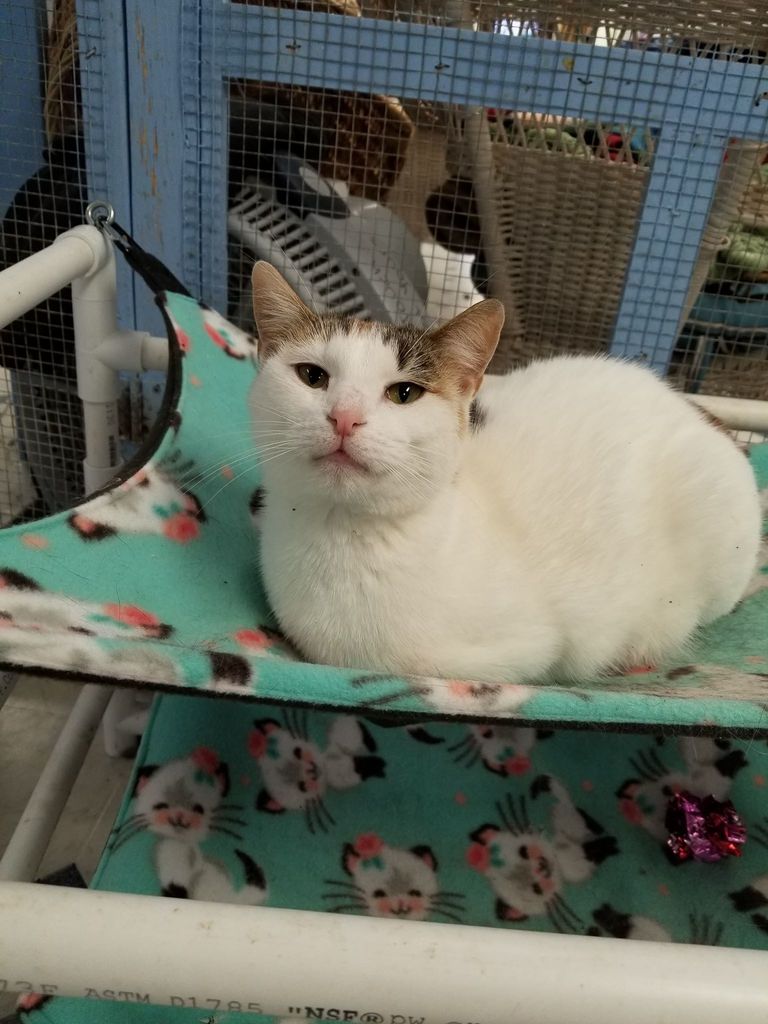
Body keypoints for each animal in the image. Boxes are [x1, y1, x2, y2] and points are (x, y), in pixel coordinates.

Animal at [248, 261, 761, 684]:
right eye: (312, 376)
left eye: (404, 393)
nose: (345, 418)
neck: (341, 534)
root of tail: (700, 410)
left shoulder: (529, 649)